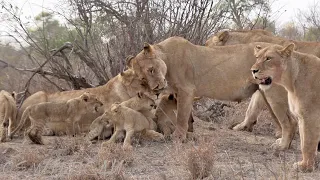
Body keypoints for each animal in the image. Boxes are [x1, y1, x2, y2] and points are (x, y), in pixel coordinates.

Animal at [251, 43, 320, 172]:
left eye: (268, 58)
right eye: (257, 57)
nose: (253, 70)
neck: (291, 82)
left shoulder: (310, 117)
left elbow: (307, 144)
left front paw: (305, 167)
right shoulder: (301, 118)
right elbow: (303, 142)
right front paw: (309, 163)